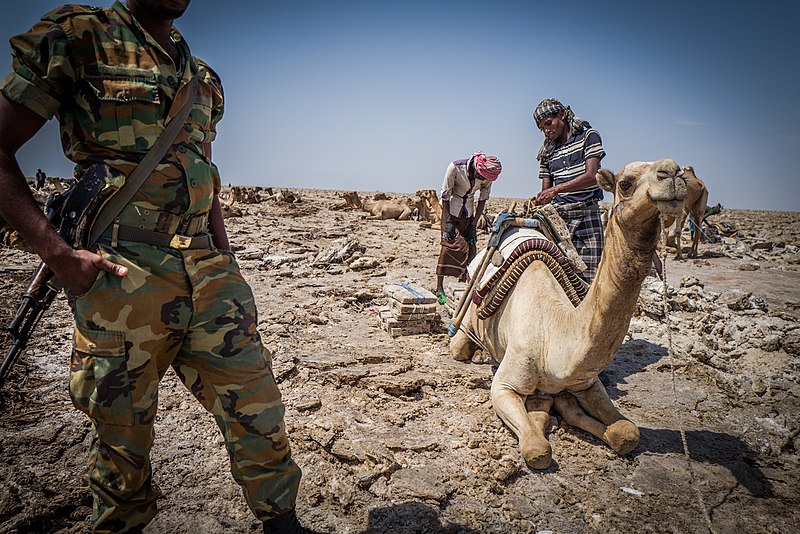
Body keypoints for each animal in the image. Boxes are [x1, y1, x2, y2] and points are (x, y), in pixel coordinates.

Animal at [450, 158, 688, 468]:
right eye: (625, 183)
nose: (672, 172)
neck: (553, 335)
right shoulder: (503, 386)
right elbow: (537, 448)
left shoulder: (586, 383)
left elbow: (627, 432)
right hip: (466, 323)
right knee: (460, 346)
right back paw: (478, 354)